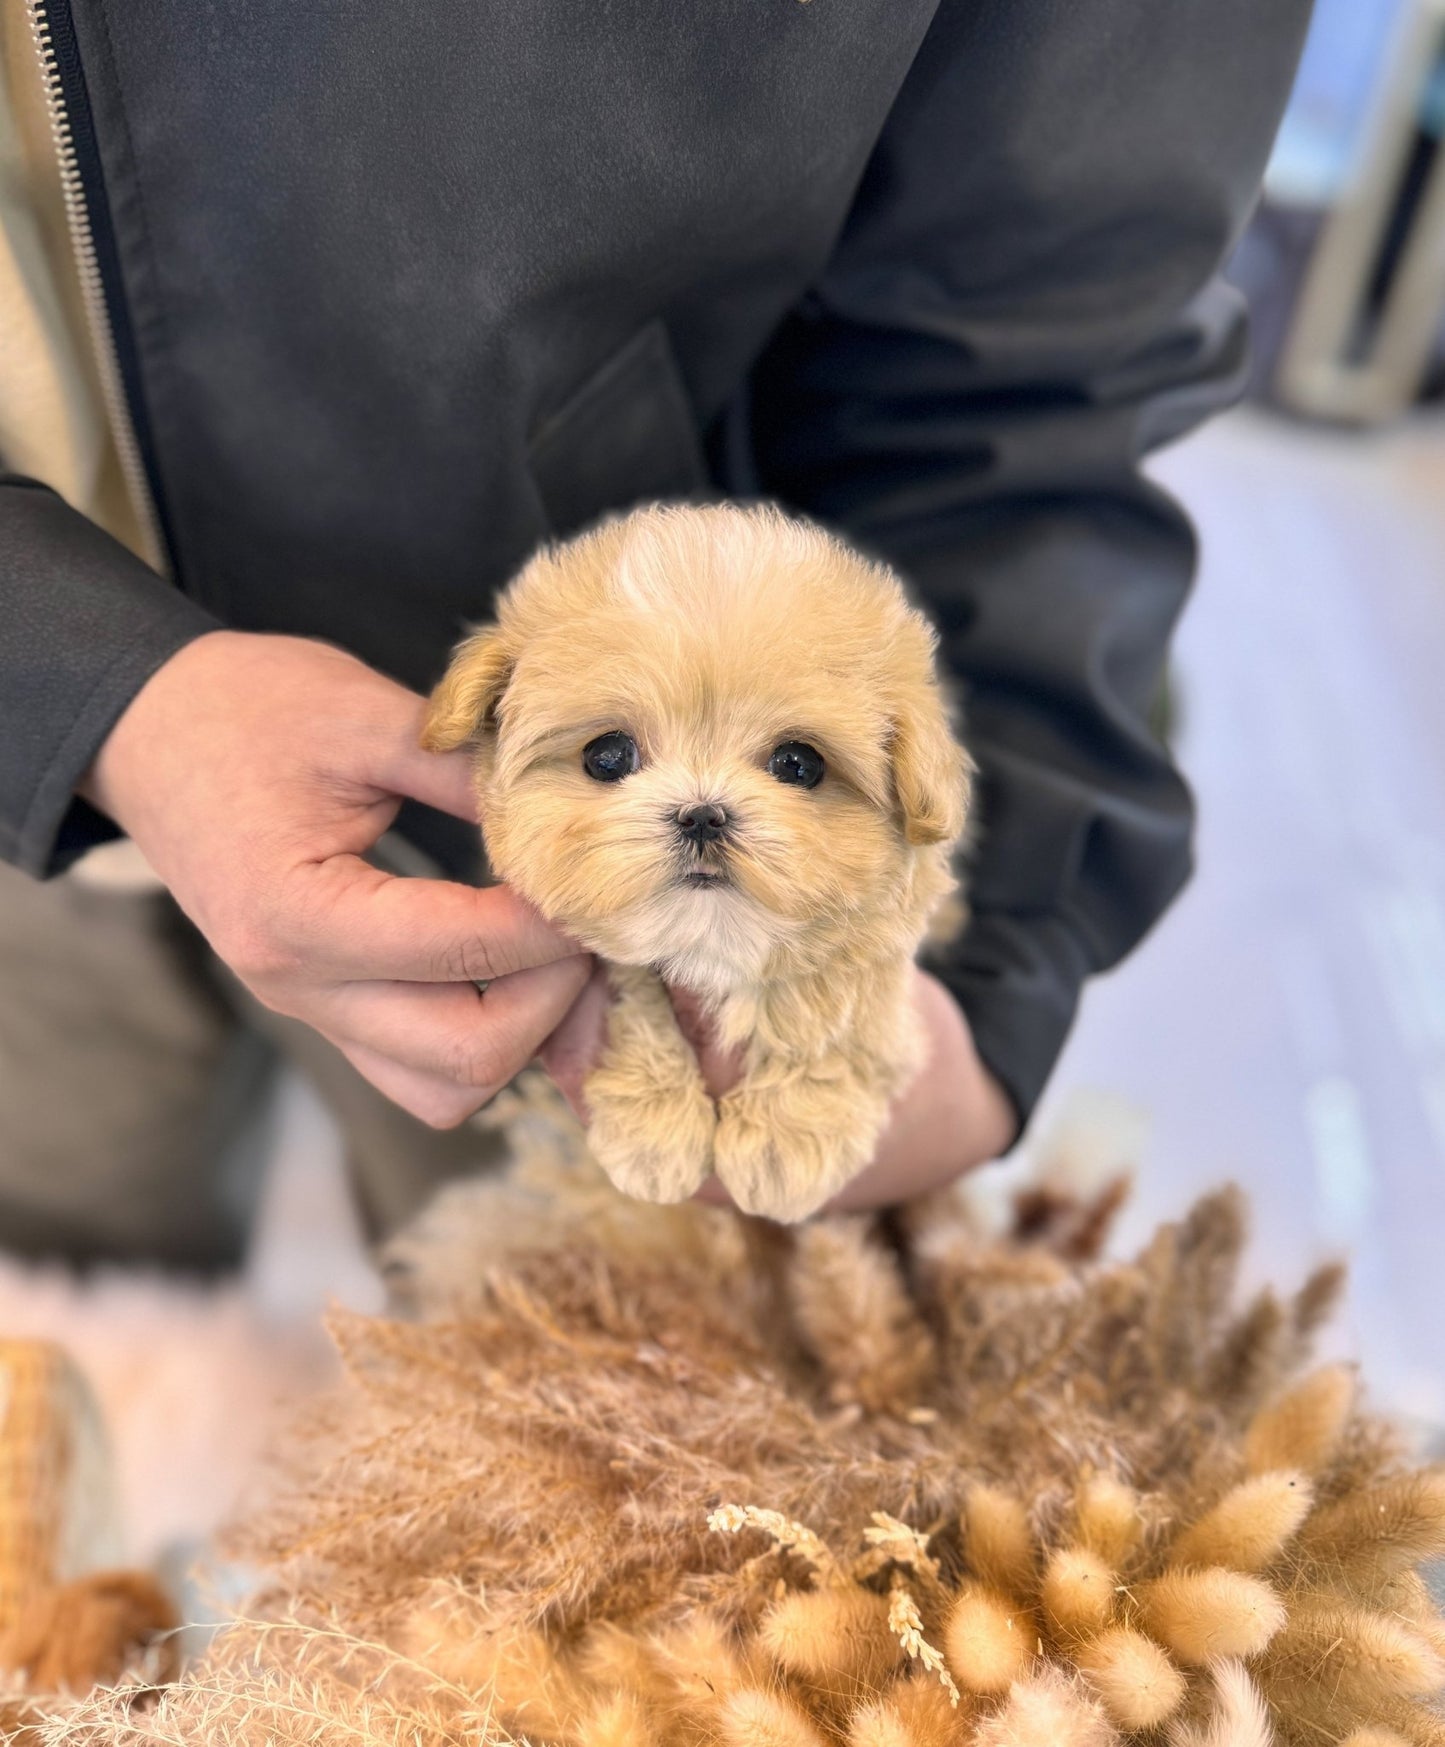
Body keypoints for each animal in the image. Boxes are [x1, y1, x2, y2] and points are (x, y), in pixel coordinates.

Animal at [424, 499, 978, 1222]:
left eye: (798, 764)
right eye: (607, 756)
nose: (702, 814)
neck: (714, 939)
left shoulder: (876, 945)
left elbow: (829, 1004)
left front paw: (784, 1140)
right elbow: (638, 999)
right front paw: (654, 1126)